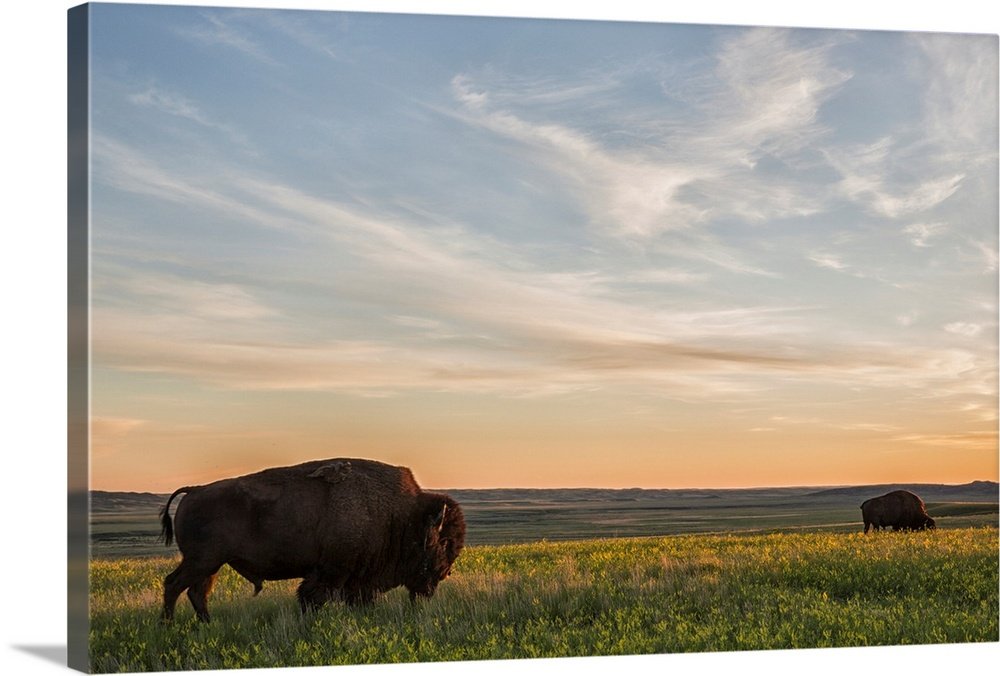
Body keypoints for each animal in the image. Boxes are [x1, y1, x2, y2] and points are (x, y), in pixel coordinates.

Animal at [159, 458, 465, 622]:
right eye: (443, 543)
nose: (444, 574)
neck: (401, 515)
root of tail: (195, 490)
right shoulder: (331, 572)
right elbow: (312, 598)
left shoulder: (355, 580)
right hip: (202, 561)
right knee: (174, 585)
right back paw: (168, 626)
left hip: (210, 565)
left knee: (196, 592)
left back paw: (206, 625)